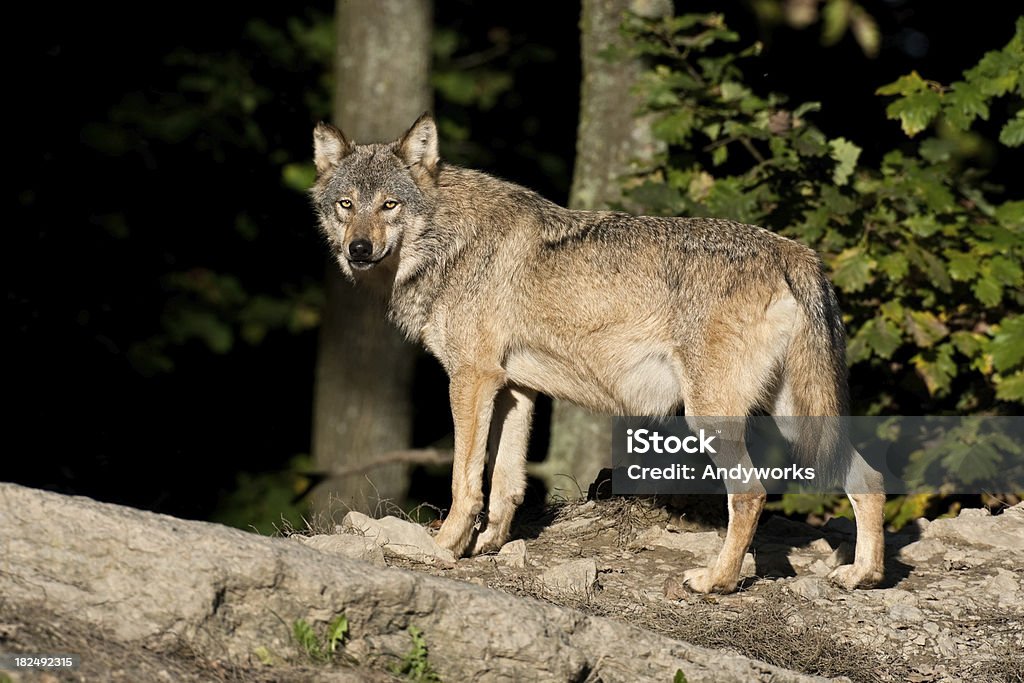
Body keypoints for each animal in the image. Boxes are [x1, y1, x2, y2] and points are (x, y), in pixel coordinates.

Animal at [307, 113, 884, 593]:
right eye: (346, 205)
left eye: (389, 205)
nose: (358, 249)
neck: (448, 242)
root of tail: (796, 250)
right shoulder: (516, 388)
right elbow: (507, 482)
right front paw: (489, 545)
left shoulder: (471, 379)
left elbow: (465, 479)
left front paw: (444, 546)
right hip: (797, 419)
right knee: (869, 479)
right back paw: (862, 576)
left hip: (714, 418)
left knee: (752, 494)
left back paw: (715, 582)